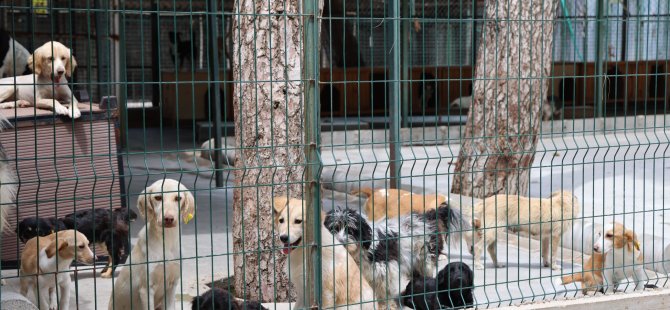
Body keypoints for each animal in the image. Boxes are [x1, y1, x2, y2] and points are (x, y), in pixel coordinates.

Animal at [107, 179, 196, 310]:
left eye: (178, 198)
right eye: (158, 198)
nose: (168, 219)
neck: (166, 241)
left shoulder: (172, 286)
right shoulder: (146, 289)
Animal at [326, 202, 468, 308]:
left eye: (351, 230)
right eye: (333, 229)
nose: (340, 241)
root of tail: (428, 217)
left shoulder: (386, 270)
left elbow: (385, 291)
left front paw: (386, 305)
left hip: (425, 259)